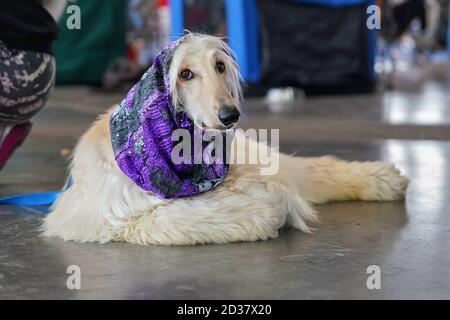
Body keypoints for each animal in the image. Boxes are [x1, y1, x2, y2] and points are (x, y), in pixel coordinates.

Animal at [42, 33, 408, 245]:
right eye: (185, 74)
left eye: (219, 66)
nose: (230, 115)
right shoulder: (112, 214)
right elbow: (183, 217)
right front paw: (270, 209)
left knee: (310, 169)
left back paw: (383, 179)